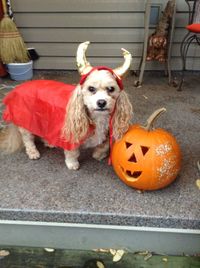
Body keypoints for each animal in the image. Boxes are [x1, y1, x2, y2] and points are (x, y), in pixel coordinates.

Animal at [0, 41, 133, 170]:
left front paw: (99, 155)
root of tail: (19, 87)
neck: (97, 117)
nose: (101, 102)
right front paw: (72, 163)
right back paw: (33, 152)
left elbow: (104, 146)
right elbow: (72, 153)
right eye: (91, 88)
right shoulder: (71, 136)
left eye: (111, 89)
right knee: (28, 139)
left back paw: (49, 142)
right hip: (26, 120)